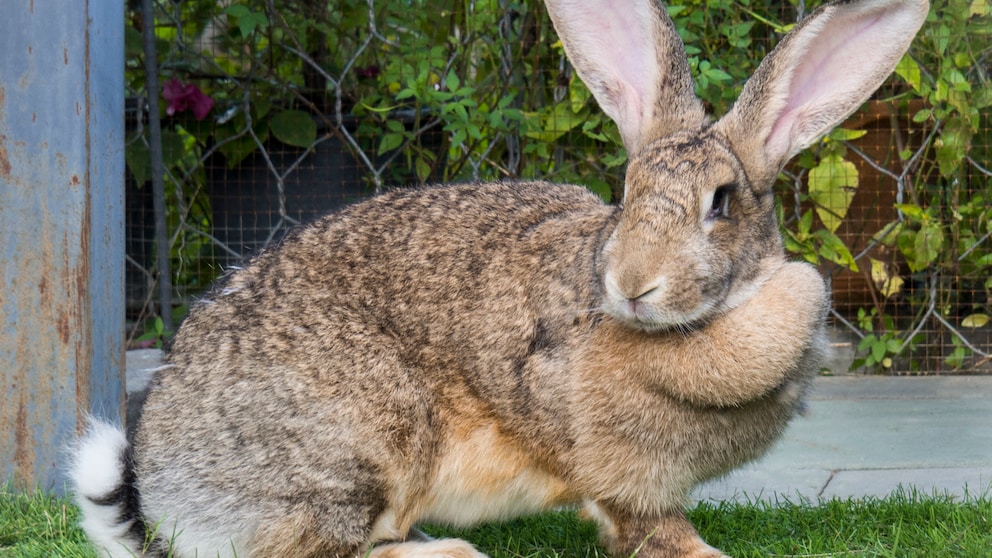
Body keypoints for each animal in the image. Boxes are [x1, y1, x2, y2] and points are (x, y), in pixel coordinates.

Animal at [71, 1, 928, 558]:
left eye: (721, 203)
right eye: (626, 193)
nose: (632, 285)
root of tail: (164, 488)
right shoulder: (618, 470)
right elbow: (647, 524)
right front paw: (706, 555)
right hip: (359, 441)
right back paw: (448, 555)